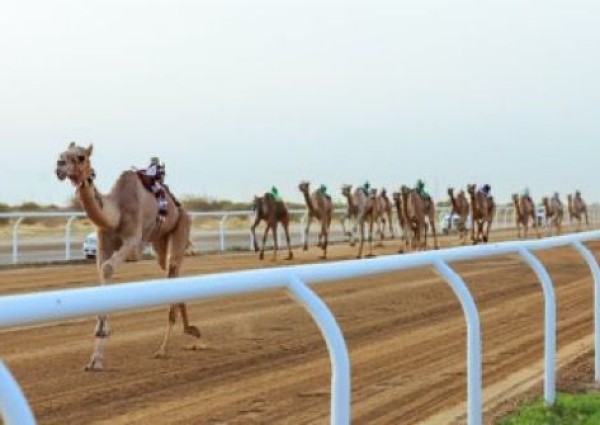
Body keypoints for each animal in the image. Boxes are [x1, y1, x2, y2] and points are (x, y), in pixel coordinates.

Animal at [54, 142, 199, 368]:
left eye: (81, 157)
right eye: (62, 154)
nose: (59, 166)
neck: (117, 213)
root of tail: (179, 206)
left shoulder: (132, 244)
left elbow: (108, 267)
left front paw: (102, 332)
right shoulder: (103, 243)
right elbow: (103, 270)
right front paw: (95, 358)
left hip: (181, 227)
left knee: (173, 268)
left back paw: (163, 348)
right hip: (159, 243)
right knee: (170, 272)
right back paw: (191, 330)